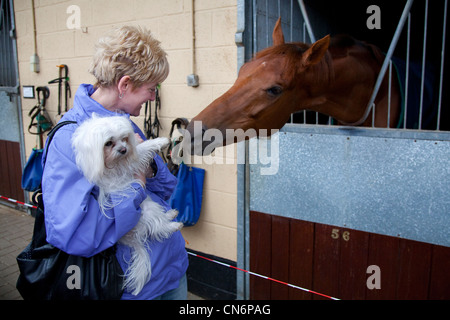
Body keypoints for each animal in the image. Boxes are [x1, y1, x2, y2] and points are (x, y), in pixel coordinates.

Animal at [71, 114, 182, 296]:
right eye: (109, 143)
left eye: (124, 138)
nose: (123, 150)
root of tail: (130, 240)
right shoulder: (128, 164)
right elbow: (144, 147)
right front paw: (161, 141)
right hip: (146, 210)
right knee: (157, 228)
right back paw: (173, 225)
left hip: (149, 202)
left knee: (159, 219)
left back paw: (170, 214)